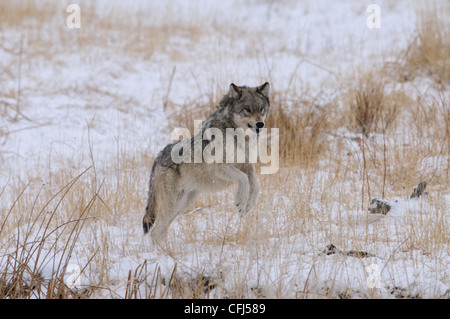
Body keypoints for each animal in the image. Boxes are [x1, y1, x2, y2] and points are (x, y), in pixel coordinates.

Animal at [143, 82, 270, 242]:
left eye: (261, 109)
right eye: (247, 109)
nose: (260, 124)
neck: (238, 137)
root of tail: (158, 157)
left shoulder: (247, 166)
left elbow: (255, 185)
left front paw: (247, 206)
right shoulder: (221, 168)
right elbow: (243, 179)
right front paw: (240, 203)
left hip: (182, 205)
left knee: (160, 232)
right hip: (174, 205)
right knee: (155, 232)